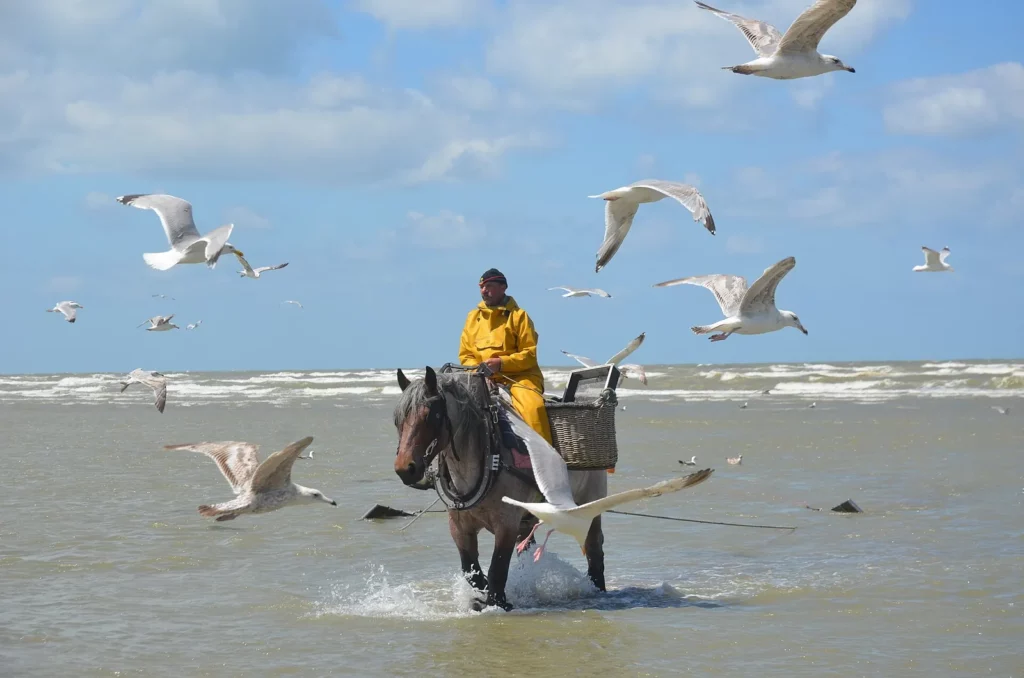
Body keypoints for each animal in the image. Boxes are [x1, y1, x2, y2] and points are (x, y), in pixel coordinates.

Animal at [393, 365, 609, 611]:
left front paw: (498, 603)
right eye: (397, 420)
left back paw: (597, 588)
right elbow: (472, 571)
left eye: (430, 416)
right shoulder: (459, 527)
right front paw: (482, 597)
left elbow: (497, 570)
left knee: (594, 548)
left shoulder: (506, 524)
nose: (405, 469)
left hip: (589, 505)